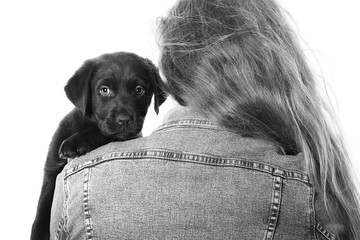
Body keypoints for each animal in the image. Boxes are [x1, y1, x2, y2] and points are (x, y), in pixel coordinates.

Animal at [31, 51, 166, 239]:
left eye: (139, 90)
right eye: (104, 90)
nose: (124, 120)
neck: (86, 123)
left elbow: (101, 133)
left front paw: (76, 142)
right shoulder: (51, 176)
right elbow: (40, 218)